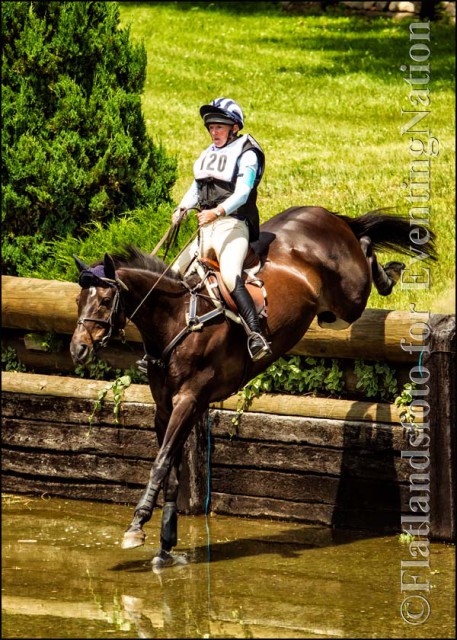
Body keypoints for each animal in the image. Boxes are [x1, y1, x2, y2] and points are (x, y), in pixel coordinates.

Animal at [68, 205, 434, 564]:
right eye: (77, 302)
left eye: (104, 302)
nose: (78, 349)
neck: (177, 319)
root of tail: (324, 213)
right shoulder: (165, 407)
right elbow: (170, 468)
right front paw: (165, 542)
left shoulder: (189, 400)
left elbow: (160, 463)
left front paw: (136, 526)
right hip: (330, 313)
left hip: (349, 297)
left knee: (367, 250)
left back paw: (389, 274)